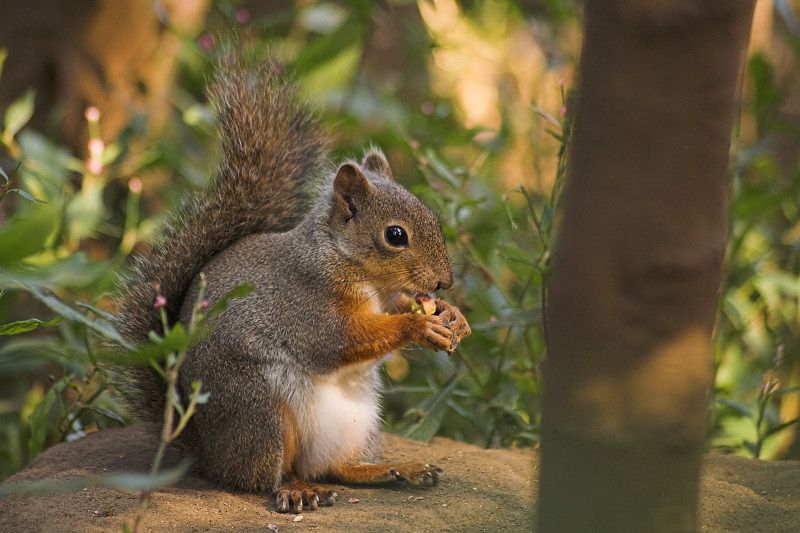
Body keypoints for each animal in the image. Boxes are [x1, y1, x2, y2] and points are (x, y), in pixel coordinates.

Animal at [115, 53, 472, 512]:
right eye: (395, 235)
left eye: (434, 219)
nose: (445, 282)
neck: (351, 265)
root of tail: (206, 453)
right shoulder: (308, 304)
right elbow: (341, 340)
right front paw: (419, 324)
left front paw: (453, 317)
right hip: (259, 410)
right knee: (266, 475)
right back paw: (296, 489)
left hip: (358, 419)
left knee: (336, 467)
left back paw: (390, 469)